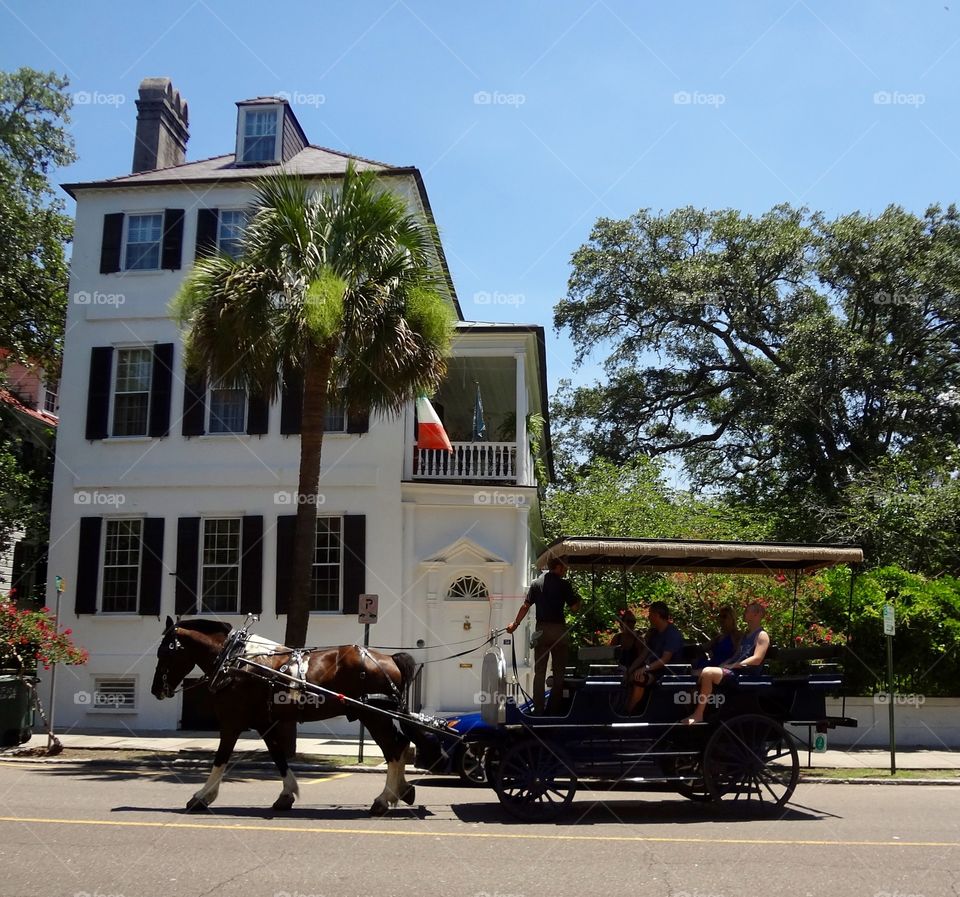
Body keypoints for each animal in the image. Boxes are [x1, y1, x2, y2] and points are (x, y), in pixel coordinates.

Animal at [149, 620, 416, 816]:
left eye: (164, 652)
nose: (156, 690)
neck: (235, 661)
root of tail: (389, 659)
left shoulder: (232, 722)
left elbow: (221, 758)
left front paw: (202, 797)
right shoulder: (264, 723)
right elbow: (278, 757)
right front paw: (286, 795)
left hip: (373, 716)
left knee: (394, 749)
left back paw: (384, 799)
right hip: (376, 717)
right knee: (400, 746)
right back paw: (402, 791)